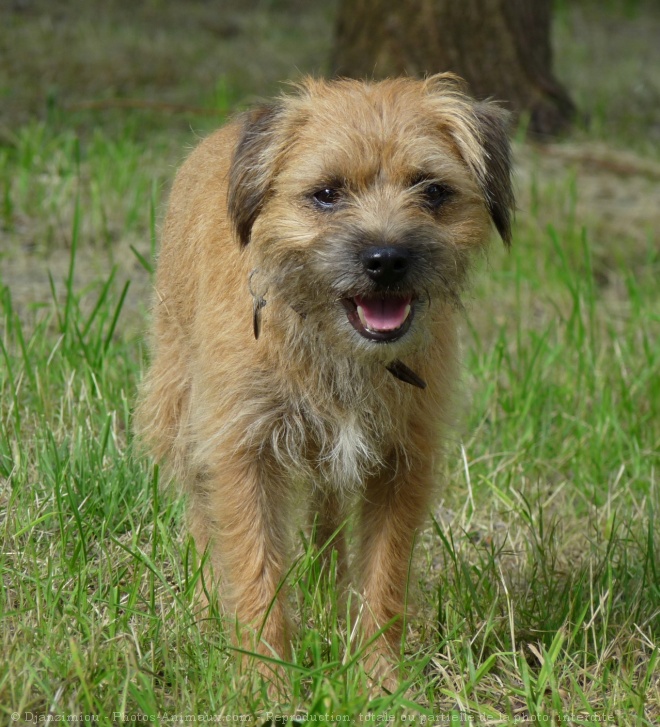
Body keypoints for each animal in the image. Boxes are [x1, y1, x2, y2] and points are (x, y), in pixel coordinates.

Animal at [135, 74, 516, 688]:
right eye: (326, 194)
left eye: (433, 191)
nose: (386, 258)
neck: (336, 347)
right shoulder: (243, 451)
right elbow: (255, 568)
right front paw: (265, 682)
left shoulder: (401, 462)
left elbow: (383, 577)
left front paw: (379, 682)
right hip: (179, 406)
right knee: (201, 513)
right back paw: (207, 604)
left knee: (327, 518)